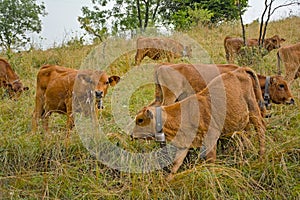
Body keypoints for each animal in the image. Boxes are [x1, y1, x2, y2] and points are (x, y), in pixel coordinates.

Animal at [132, 67, 266, 180]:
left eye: (140, 120)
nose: (131, 135)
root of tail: (240, 70)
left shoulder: (211, 139)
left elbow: (210, 161)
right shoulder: (185, 143)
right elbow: (176, 163)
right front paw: (167, 181)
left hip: (253, 109)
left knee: (260, 131)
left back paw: (260, 158)